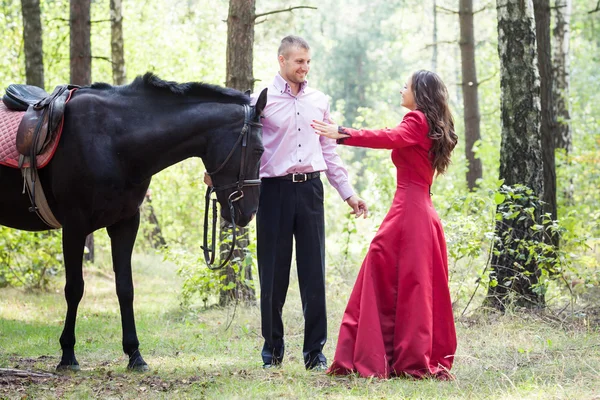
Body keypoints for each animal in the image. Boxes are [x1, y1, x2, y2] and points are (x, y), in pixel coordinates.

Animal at [0, 73, 268, 370]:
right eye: (259, 150)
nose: (249, 213)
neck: (113, 140)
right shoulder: (74, 226)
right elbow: (75, 288)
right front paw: (68, 355)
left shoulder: (126, 223)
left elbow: (125, 288)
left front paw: (134, 354)